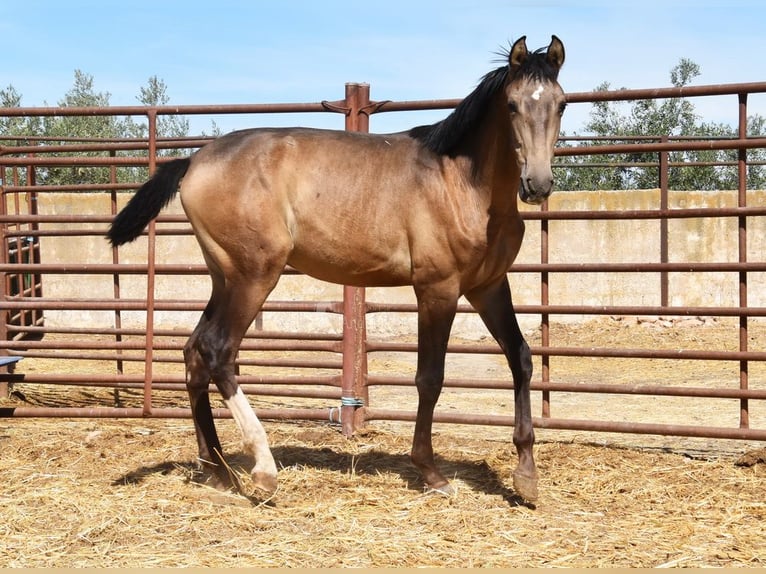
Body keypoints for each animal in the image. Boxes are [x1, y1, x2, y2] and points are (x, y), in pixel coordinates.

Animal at [109, 35, 564, 504]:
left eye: (561, 104)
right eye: (512, 105)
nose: (537, 184)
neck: (460, 183)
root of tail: (194, 162)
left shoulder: (488, 286)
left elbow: (521, 358)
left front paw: (526, 476)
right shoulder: (438, 288)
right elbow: (430, 378)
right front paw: (431, 472)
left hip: (225, 277)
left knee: (194, 352)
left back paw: (218, 470)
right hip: (254, 275)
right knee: (218, 351)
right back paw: (263, 470)